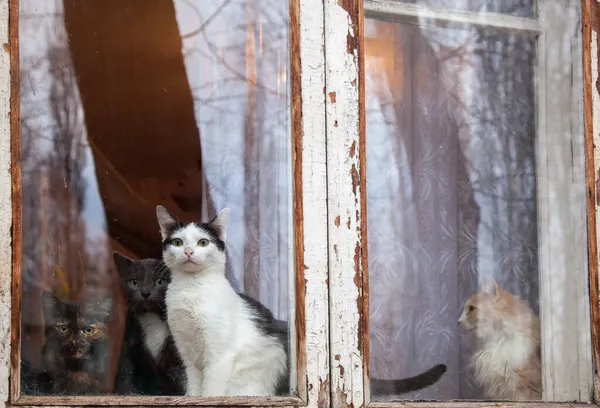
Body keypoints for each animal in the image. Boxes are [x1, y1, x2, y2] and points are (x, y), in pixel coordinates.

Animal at [113, 253, 185, 394]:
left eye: (160, 281)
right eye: (134, 282)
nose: (145, 293)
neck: (153, 317)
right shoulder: (132, 343)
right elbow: (127, 373)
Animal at [155, 206, 446, 396]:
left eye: (203, 242)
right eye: (178, 242)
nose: (189, 251)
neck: (191, 291)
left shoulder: (219, 357)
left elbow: (211, 392)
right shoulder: (189, 354)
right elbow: (194, 390)